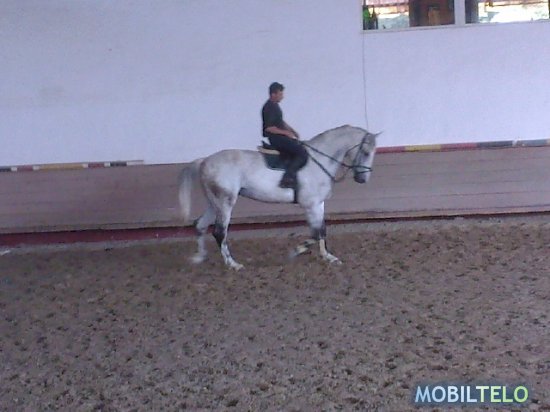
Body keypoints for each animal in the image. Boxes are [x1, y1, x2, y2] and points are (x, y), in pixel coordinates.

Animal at [178, 125, 378, 270]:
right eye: (366, 152)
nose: (362, 179)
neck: (320, 160)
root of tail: (204, 161)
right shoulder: (311, 205)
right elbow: (315, 234)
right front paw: (295, 251)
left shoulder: (319, 204)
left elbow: (322, 230)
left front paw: (328, 257)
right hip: (225, 202)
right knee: (219, 232)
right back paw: (233, 264)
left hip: (214, 203)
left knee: (200, 225)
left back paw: (199, 257)